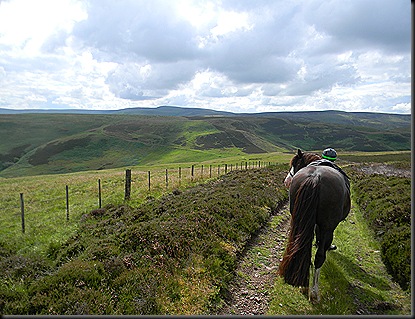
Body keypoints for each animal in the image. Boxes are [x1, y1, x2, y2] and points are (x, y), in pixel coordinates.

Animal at [280, 149, 352, 302]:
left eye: (296, 164)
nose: (286, 181)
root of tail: (315, 177)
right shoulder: (326, 227)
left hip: (298, 219)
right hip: (327, 226)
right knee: (319, 257)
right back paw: (314, 291)